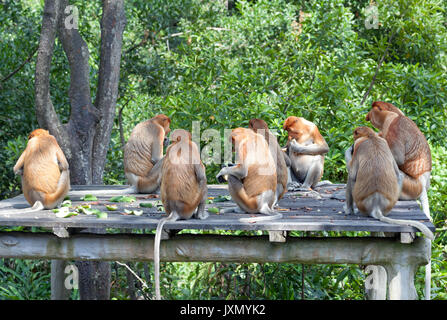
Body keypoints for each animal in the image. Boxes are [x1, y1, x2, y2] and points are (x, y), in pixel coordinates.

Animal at [154, 128, 208, 300]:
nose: (165, 141)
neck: (180, 143)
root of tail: (175, 210)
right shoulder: (193, 147)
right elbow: (201, 176)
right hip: (191, 204)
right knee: (203, 184)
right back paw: (201, 215)